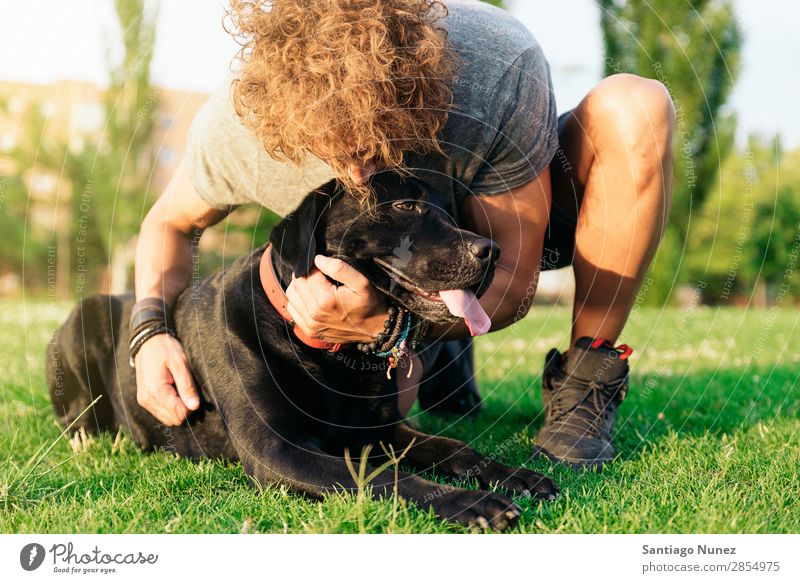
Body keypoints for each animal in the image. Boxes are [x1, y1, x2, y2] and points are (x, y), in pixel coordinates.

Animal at [43, 172, 556, 528]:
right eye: (406, 205)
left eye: (450, 215)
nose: (491, 250)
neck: (325, 353)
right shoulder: (278, 449)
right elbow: (380, 477)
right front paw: (467, 501)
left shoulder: (382, 429)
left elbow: (453, 447)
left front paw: (515, 475)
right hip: (81, 320)